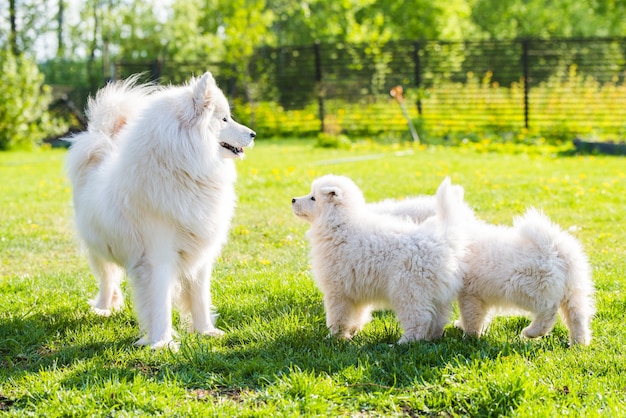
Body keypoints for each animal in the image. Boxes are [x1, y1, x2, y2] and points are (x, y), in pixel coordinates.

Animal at [65, 72, 254, 350]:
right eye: (224, 119)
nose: (253, 134)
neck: (183, 171)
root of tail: (103, 144)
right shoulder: (158, 258)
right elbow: (159, 304)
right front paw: (162, 343)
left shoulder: (200, 255)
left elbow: (200, 298)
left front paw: (205, 331)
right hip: (98, 249)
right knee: (107, 278)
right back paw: (103, 308)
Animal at [290, 176, 466, 342]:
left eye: (313, 198)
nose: (293, 199)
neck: (339, 225)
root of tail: (442, 239)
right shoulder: (355, 289)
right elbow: (357, 316)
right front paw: (352, 332)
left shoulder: (337, 290)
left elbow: (337, 317)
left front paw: (334, 337)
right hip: (437, 295)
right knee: (438, 319)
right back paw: (431, 338)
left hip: (408, 290)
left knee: (419, 318)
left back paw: (405, 342)